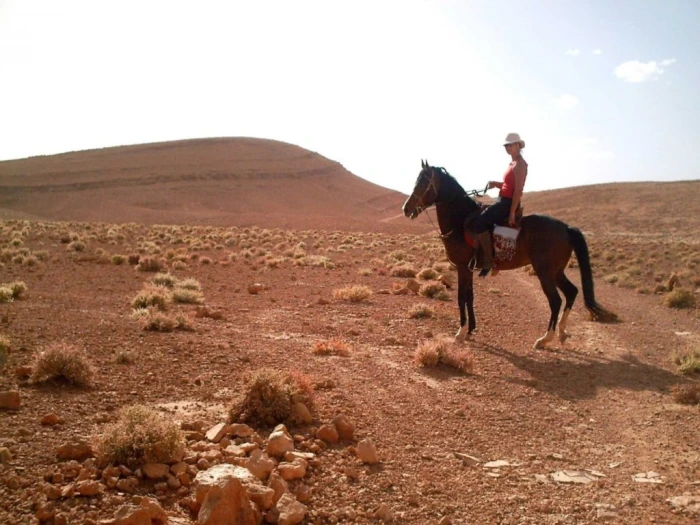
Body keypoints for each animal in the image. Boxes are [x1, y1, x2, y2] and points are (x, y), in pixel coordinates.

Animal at [402, 160, 616, 348]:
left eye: (423, 182)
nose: (406, 208)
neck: (460, 221)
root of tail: (566, 228)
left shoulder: (463, 268)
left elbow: (461, 297)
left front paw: (460, 333)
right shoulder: (469, 269)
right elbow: (470, 297)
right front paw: (471, 329)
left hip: (545, 272)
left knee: (556, 300)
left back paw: (545, 339)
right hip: (556, 271)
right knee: (572, 292)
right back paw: (562, 332)